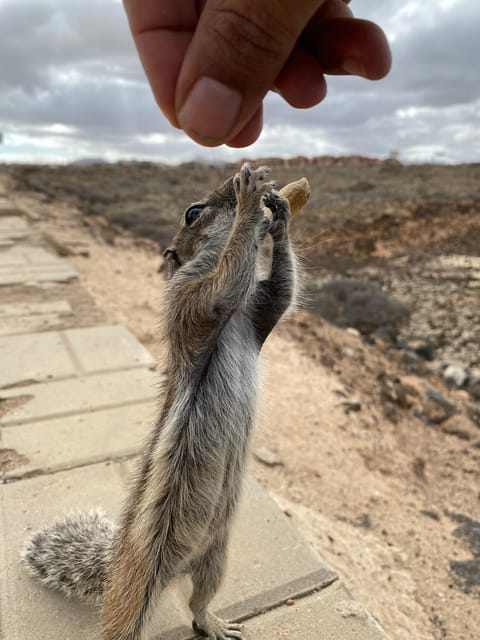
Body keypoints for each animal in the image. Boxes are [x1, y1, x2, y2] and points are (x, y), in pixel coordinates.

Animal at [23, 165, 300, 640]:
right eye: (192, 211)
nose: (237, 183)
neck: (235, 321)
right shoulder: (190, 303)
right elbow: (222, 287)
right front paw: (249, 201)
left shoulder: (258, 314)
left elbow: (281, 291)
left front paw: (279, 215)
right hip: (137, 589)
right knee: (124, 623)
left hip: (215, 557)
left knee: (197, 602)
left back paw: (214, 622)